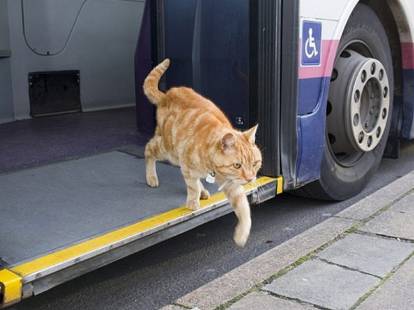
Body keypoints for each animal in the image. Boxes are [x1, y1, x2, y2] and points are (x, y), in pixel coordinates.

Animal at [142, 58, 262, 247]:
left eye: (255, 163)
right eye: (237, 165)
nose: (250, 178)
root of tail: (167, 94)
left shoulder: (231, 185)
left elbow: (243, 208)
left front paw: (242, 234)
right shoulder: (187, 164)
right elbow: (192, 186)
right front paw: (192, 202)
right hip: (168, 150)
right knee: (148, 149)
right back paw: (151, 177)